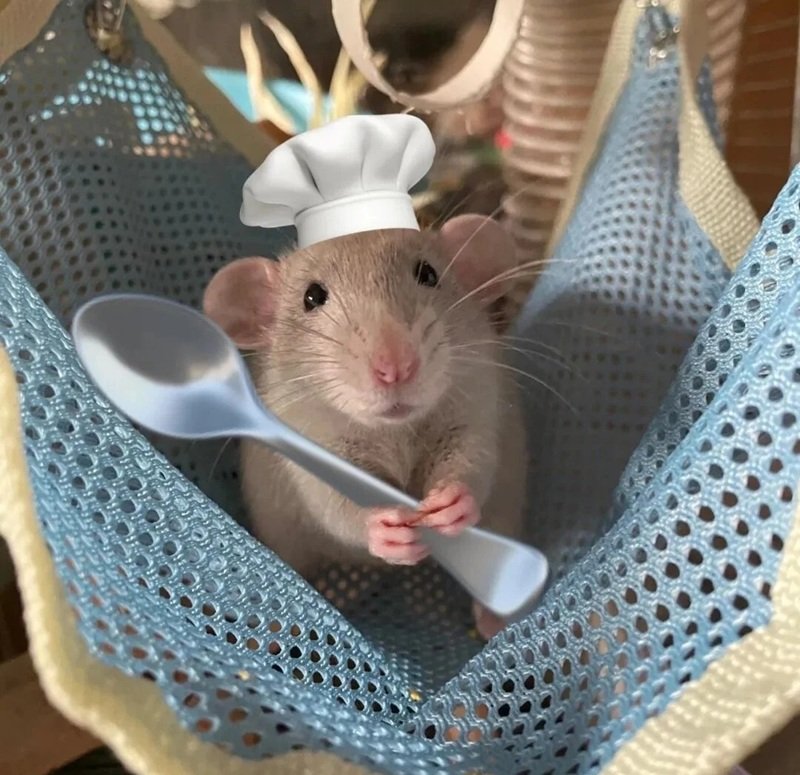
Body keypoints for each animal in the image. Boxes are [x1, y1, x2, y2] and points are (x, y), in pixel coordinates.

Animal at [203, 214, 528, 639]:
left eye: (428, 274)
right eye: (312, 297)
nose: (396, 366)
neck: (393, 429)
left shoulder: (475, 402)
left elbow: (473, 456)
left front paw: (454, 499)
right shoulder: (305, 439)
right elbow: (332, 501)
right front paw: (379, 526)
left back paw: (495, 616)